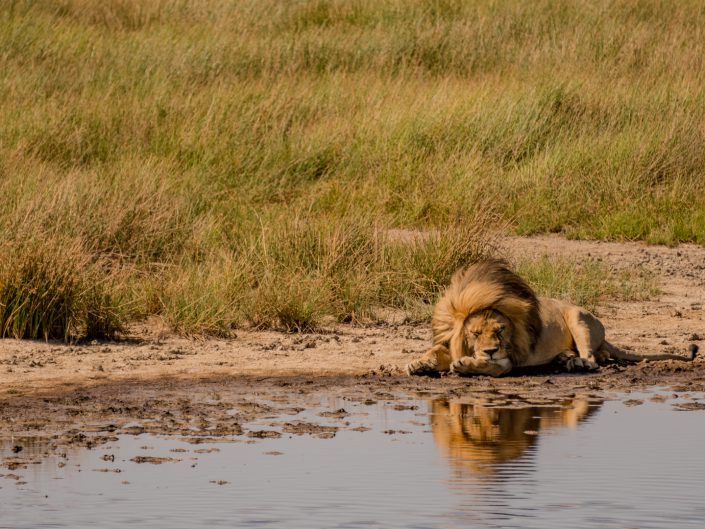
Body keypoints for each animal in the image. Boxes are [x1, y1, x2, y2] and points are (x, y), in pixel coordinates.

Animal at [404, 258, 696, 376]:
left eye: (500, 330)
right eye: (475, 333)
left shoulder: (506, 362)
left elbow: (489, 367)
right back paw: (564, 358)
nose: (489, 350)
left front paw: (467, 365)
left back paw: (576, 362)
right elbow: (435, 352)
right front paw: (419, 363)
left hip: (578, 317)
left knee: (592, 359)